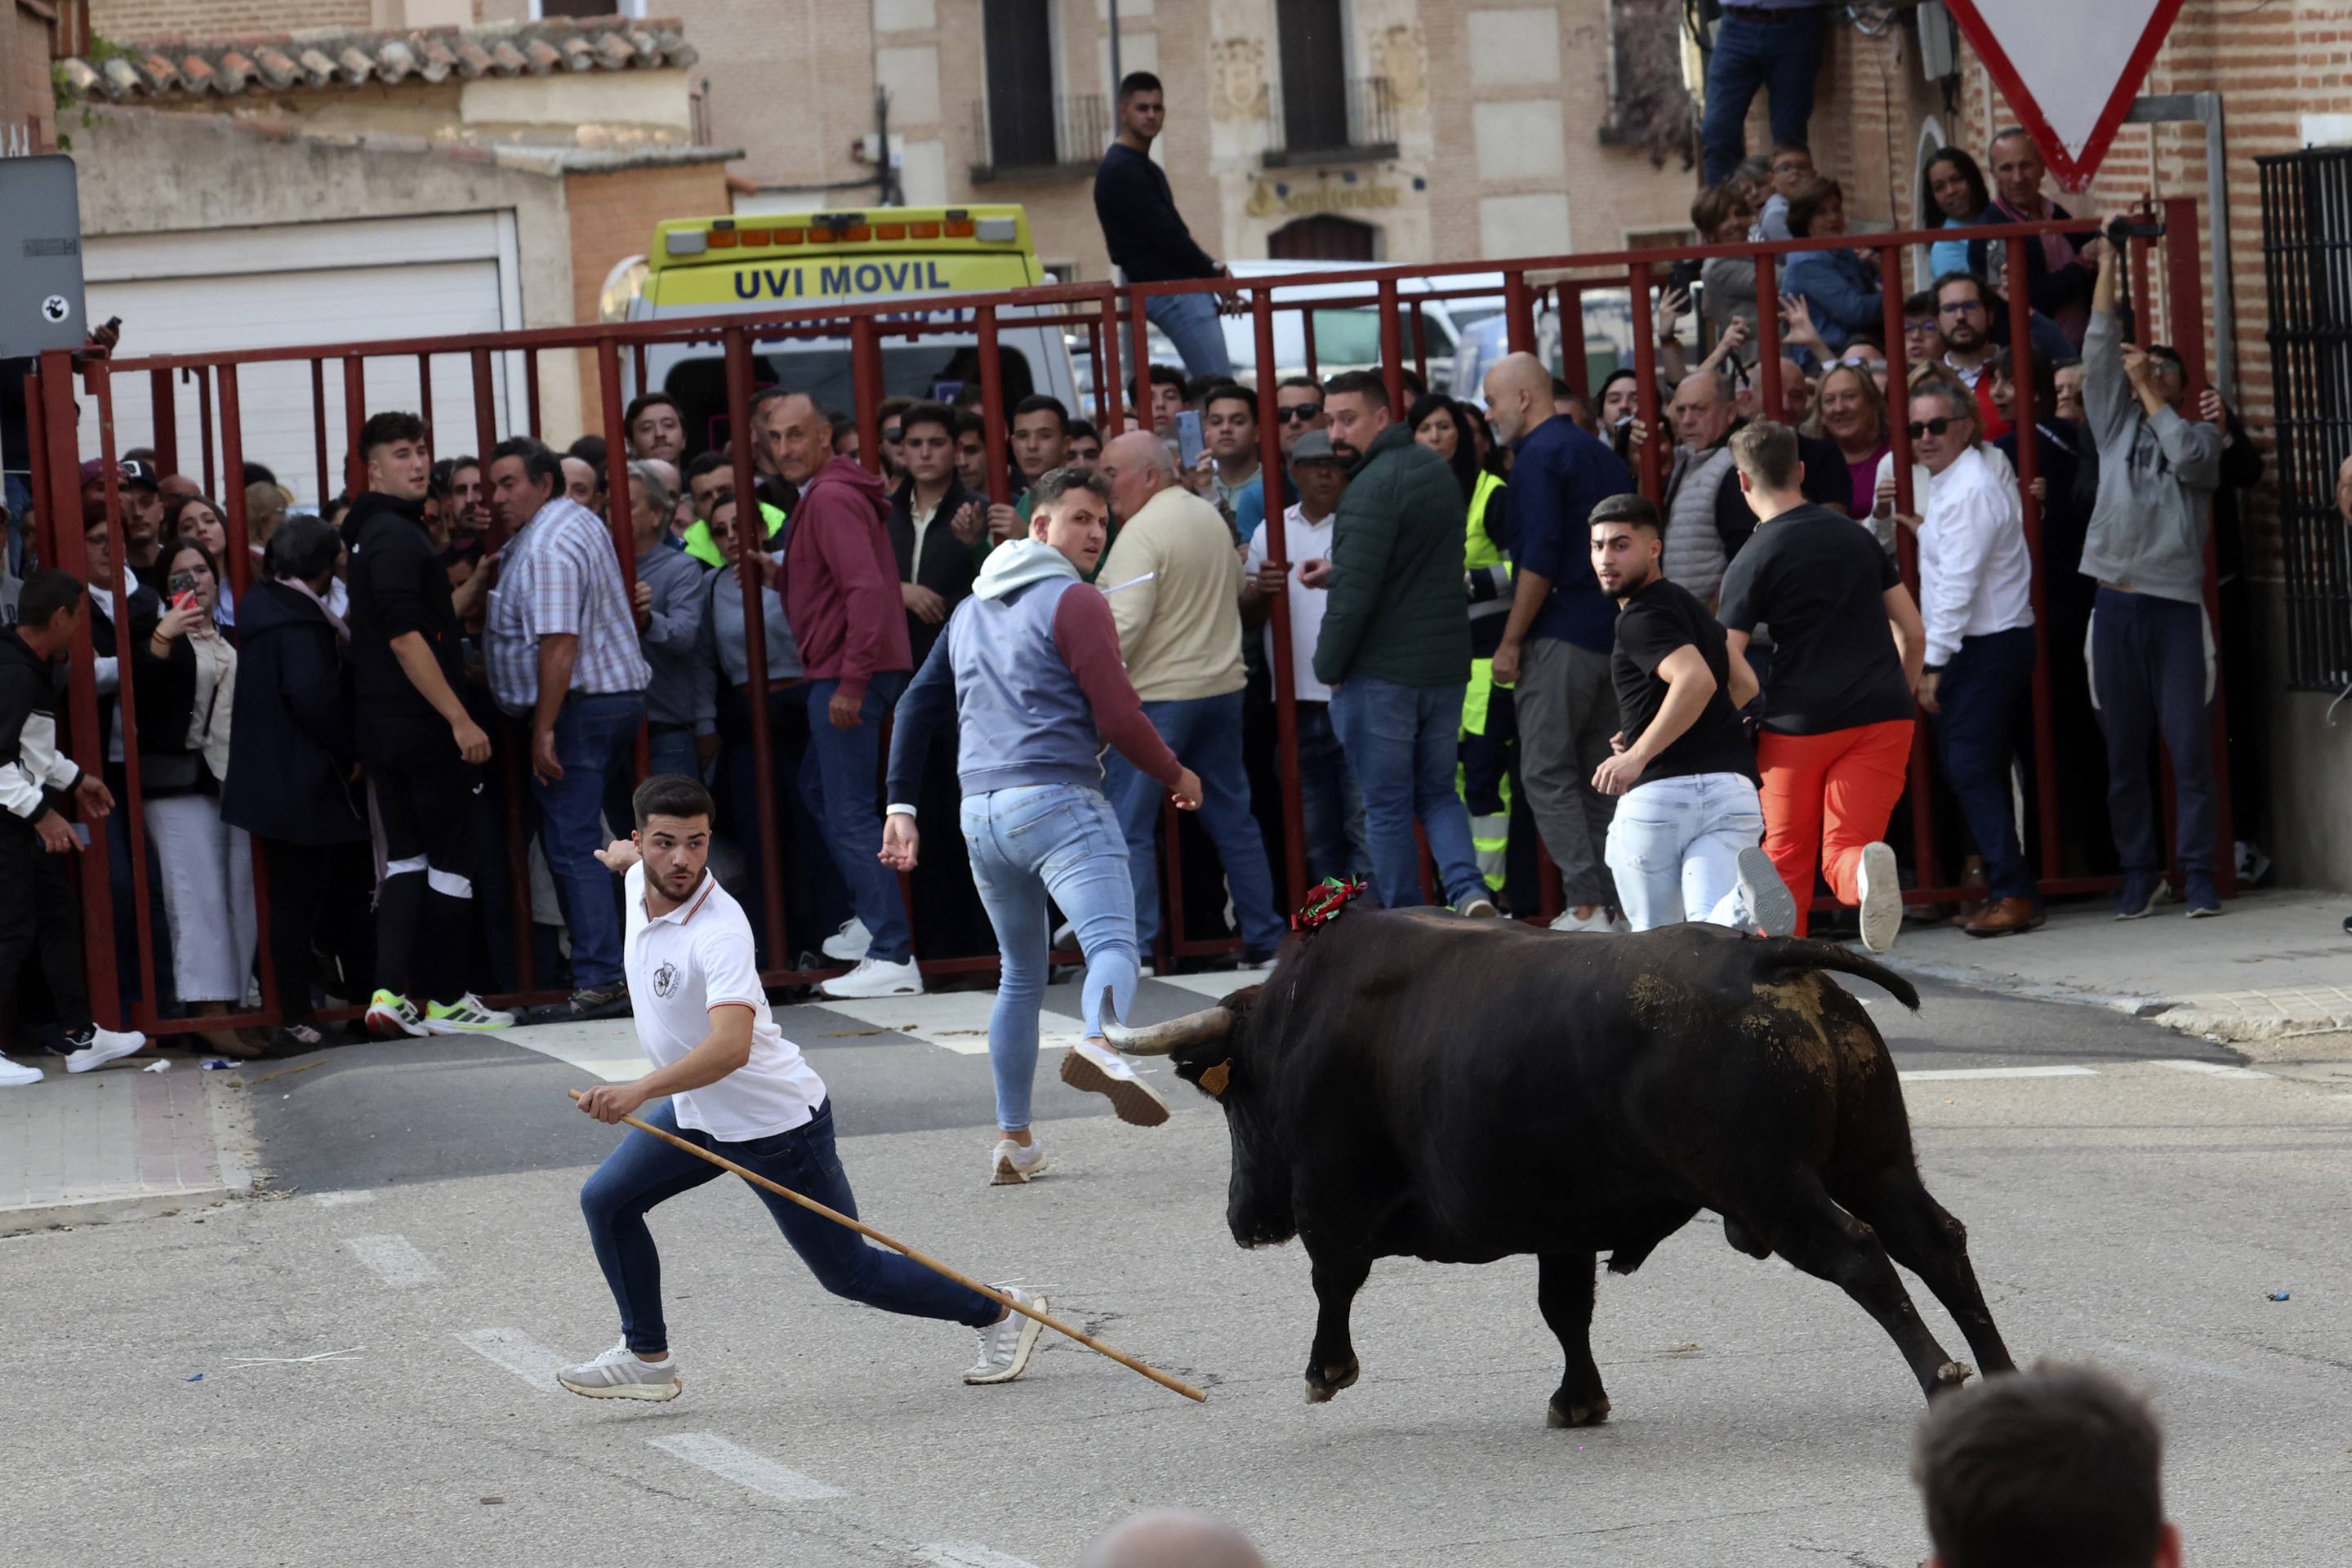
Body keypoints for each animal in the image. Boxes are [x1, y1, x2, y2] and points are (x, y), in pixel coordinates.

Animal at [1105, 902, 2022, 1429]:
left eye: (1235, 1099)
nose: (1243, 1220)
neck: (1302, 1019)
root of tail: (1765, 958)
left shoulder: (1334, 1201)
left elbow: (1333, 1282)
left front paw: (1325, 1372)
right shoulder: (1565, 1221)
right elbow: (1565, 1310)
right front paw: (1579, 1400)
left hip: (1774, 1188)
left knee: (1862, 1254)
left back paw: (1943, 1378)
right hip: (1875, 1162)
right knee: (1937, 1243)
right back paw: (2002, 1377)